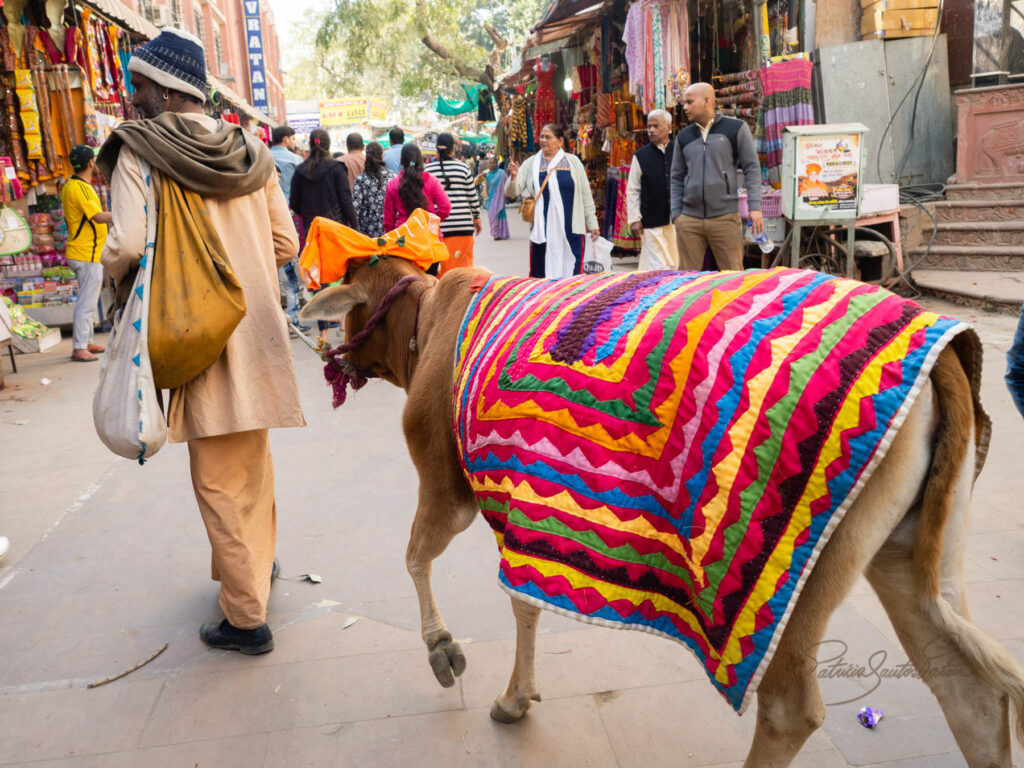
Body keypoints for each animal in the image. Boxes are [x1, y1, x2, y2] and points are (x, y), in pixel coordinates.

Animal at [299, 256, 1024, 765]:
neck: (430, 324)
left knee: (790, 712)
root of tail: (936, 346)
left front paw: (444, 652)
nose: (328, 352)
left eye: (345, 306)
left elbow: (417, 557)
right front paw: (516, 696)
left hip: (800, 586)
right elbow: (526, 602)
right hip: (912, 556)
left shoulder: (448, 487)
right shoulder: (524, 511)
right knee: (971, 693)